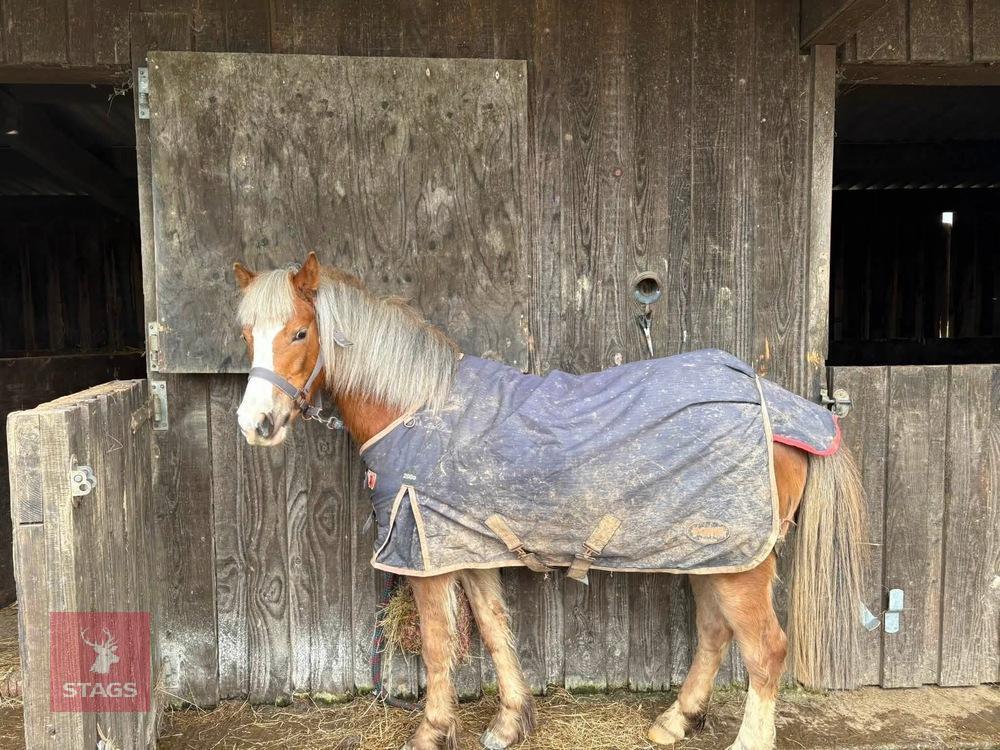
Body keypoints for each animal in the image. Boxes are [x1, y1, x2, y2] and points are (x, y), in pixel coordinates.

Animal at [232, 253, 867, 750]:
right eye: (247, 335)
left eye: (299, 333)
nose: (255, 424)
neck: (418, 407)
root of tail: (778, 405)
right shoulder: (468, 546)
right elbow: (493, 628)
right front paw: (511, 722)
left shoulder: (425, 555)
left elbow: (437, 643)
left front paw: (432, 731)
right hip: (713, 554)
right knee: (715, 632)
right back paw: (674, 721)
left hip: (740, 562)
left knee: (766, 651)